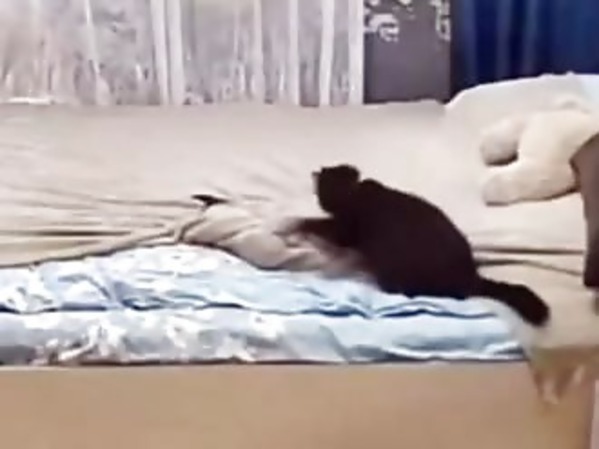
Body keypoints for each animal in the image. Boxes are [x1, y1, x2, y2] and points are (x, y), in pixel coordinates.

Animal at [290, 164, 550, 326]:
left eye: (320, 194)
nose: (323, 202)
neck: (350, 194)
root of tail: (471, 277)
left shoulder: (345, 231)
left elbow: (318, 224)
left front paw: (297, 223)